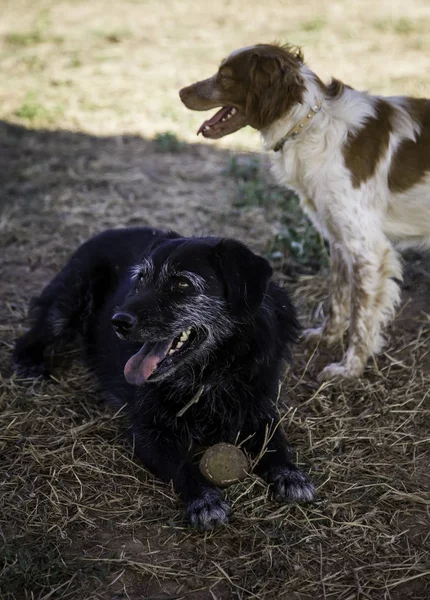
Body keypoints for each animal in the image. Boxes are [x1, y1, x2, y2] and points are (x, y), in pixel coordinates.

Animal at [14, 227, 316, 528]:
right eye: (141, 278)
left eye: (182, 284)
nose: (117, 321)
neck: (210, 372)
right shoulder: (147, 429)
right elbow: (180, 463)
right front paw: (204, 500)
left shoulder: (258, 406)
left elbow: (275, 442)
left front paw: (291, 475)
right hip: (67, 300)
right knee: (34, 332)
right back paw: (29, 362)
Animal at [180, 43, 430, 380]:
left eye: (225, 77)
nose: (181, 92)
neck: (312, 124)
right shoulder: (339, 237)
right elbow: (339, 297)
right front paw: (326, 336)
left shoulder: (367, 249)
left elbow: (361, 316)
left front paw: (349, 368)